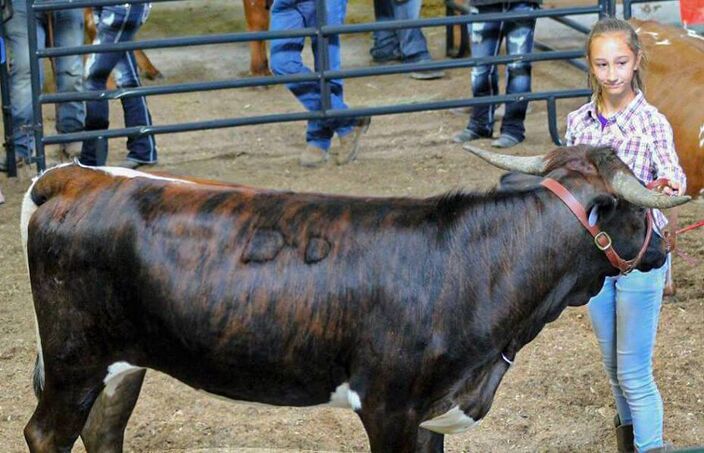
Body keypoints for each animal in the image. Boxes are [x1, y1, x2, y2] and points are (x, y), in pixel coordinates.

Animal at [20, 144, 688, 448]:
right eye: (636, 210)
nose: (662, 246)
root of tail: (77, 174)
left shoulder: (433, 410)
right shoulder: (387, 405)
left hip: (121, 363)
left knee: (103, 430)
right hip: (74, 359)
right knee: (45, 434)